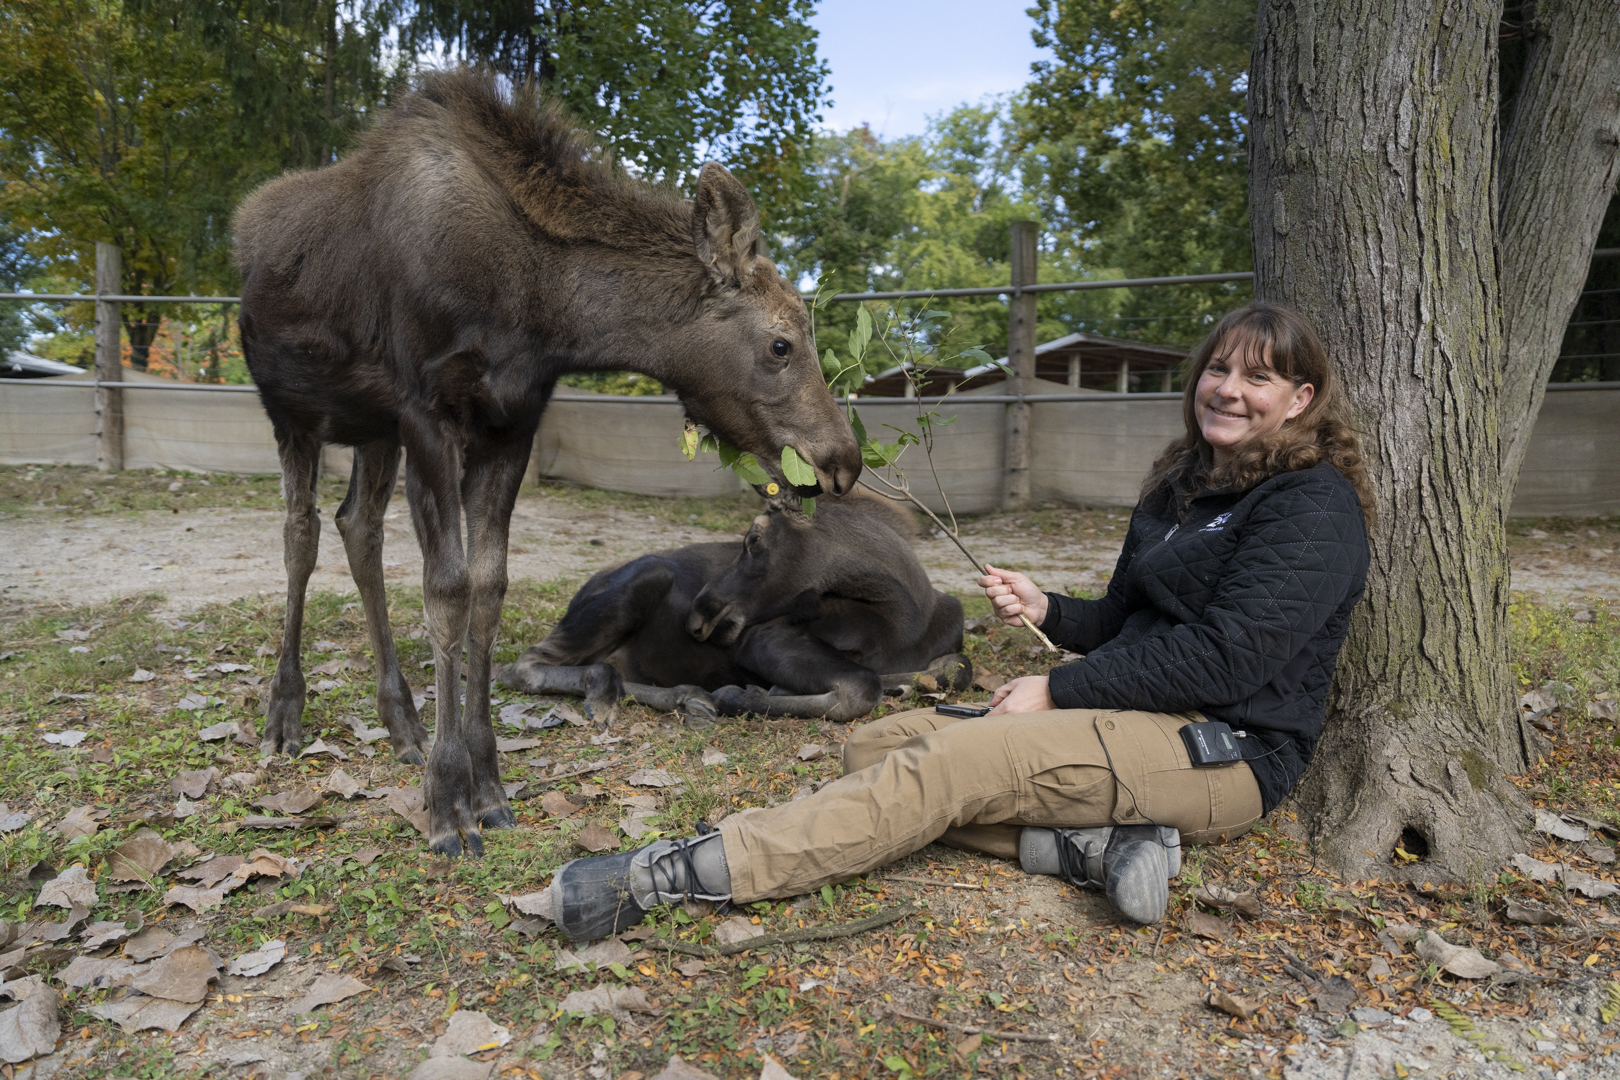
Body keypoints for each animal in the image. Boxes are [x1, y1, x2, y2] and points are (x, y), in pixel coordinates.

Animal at [236, 71, 868, 854]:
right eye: (782, 343)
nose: (842, 460)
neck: (539, 311)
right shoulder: (427, 413)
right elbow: (446, 592)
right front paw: (447, 803)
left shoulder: (509, 425)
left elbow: (489, 588)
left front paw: (487, 787)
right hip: (294, 412)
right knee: (301, 534)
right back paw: (285, 715)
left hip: (372, 427)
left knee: (359, 527)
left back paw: (403, 721)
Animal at [498, 488, 965, 725]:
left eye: (753, 540)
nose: (698, 615)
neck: (904, 620)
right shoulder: (761, 638)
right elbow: (862, 687)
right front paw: (744, 695)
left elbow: (955, 667)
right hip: (643, 577)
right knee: (526, 665)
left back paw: (685, 695)